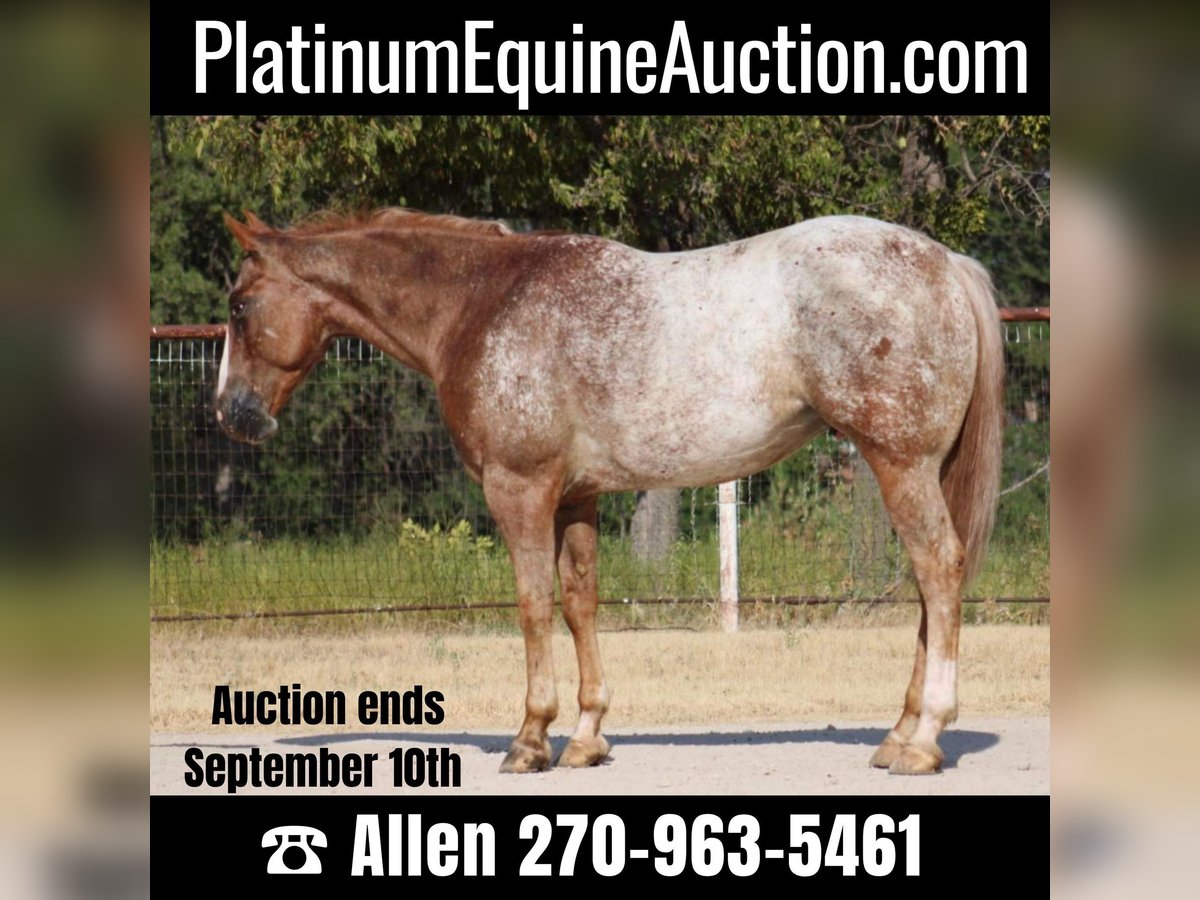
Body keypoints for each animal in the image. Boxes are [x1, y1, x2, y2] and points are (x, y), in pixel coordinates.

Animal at [213, 207, 1003, 777]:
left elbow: (533, 605)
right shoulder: (576, 498)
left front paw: (531, 738)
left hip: (900, 464)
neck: (483, 305)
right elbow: (579, 602)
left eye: (241, 305)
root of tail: (945, 263)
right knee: (932, 584)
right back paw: (899, 732)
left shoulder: (520, 489)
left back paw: (923, 740)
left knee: (939, 569)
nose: (230, 412)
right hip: (918, 469)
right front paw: (588, 736)